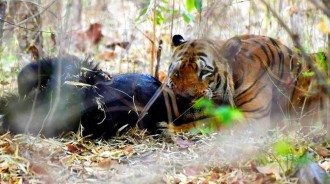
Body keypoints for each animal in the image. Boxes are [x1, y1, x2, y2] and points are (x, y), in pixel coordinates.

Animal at [166, 34, 328, 132]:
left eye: (204, 72)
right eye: (177, 72)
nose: (184, 98)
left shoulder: (252, 118)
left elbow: (209, 122)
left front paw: (170, 129)